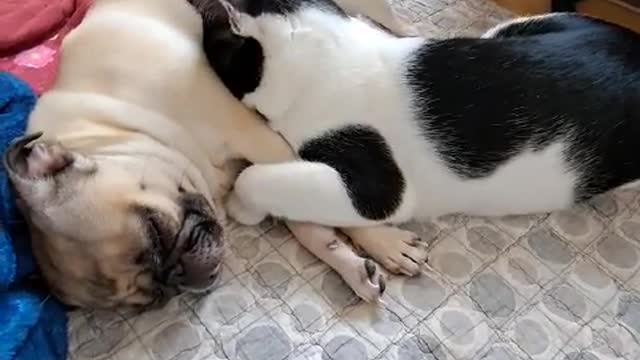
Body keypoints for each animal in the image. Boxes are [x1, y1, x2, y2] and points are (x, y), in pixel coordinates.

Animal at [2, 0, 412, 308]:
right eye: (155, 299)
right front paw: (351, 266)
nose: (180, 274)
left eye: (155, 229)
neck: (116, 128)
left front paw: (384, 241)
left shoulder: (258, 140)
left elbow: (340, 201)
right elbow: (308, 224)